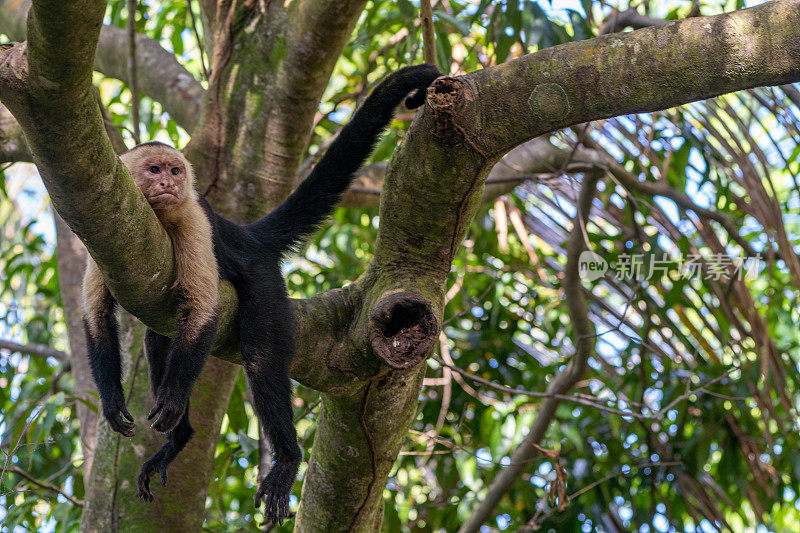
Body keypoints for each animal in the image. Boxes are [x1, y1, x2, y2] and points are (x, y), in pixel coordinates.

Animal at [81, 63, 440, 524]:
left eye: (175, 172)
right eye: (155, 170)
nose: (169, 184)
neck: (158, 216)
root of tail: (248, 236)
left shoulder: (193, 215)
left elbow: (204, 311)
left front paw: (174, 398)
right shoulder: (101, 231)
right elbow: (97, 317)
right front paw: (111, 401)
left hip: (265, 280)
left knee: (260, 356)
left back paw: (286, 458)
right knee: (157, 338)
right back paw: (180, 439)